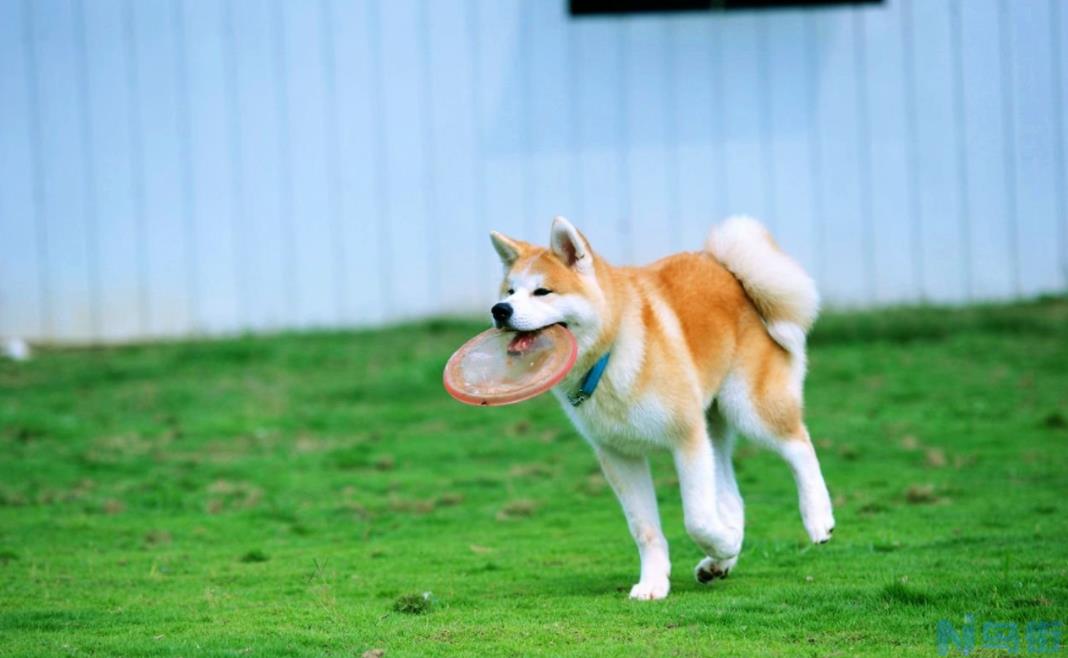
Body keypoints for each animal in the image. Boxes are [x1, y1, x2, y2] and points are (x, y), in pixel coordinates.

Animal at [489, 215, 833, 602]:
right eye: (509, 292)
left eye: (542, 292)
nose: (500, 311)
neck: (610, 355)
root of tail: (727, 270)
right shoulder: (620, 456)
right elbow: (645, 530)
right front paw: (655, 582)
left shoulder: (687, 439)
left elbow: (697, 519)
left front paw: (724, 543)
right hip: (714, 427)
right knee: (733, 498)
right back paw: (718, 563)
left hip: (749, 409)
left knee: (799, 446)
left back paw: (816, 518)